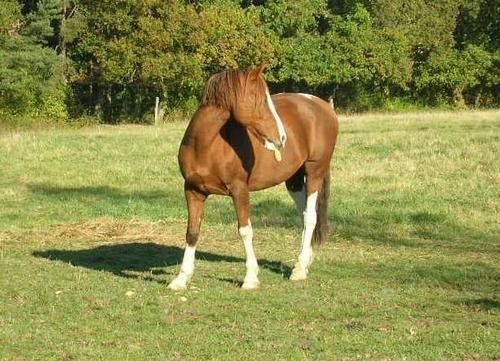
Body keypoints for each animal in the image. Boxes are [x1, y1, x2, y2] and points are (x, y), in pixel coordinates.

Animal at [169, 64, 340, 290]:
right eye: (260, 99)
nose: (282, 138)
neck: (206, 146)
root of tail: (323, 106)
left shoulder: (239, 190)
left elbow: (245, 230)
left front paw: (250, 278)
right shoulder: (193, 190)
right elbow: (192, 232)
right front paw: (181, 279)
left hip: (315, 172)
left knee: (311, 217)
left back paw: (299, 269)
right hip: (293, 180)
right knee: (304, 215)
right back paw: (303, 262)